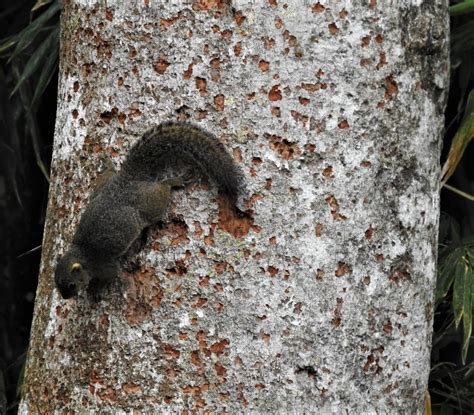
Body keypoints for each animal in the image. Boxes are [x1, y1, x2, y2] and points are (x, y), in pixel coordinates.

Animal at [53, 122, 243, 300]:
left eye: (71, 284)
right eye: (57, 285)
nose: (66, 297)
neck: (82, 255)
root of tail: (127, 180)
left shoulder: (105, 266)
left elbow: (110, 277)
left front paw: (95, 292)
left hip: (150, 204)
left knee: (163, 189)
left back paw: (174, 181)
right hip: (104, 188)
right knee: (108, 175)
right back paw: (107, 164)